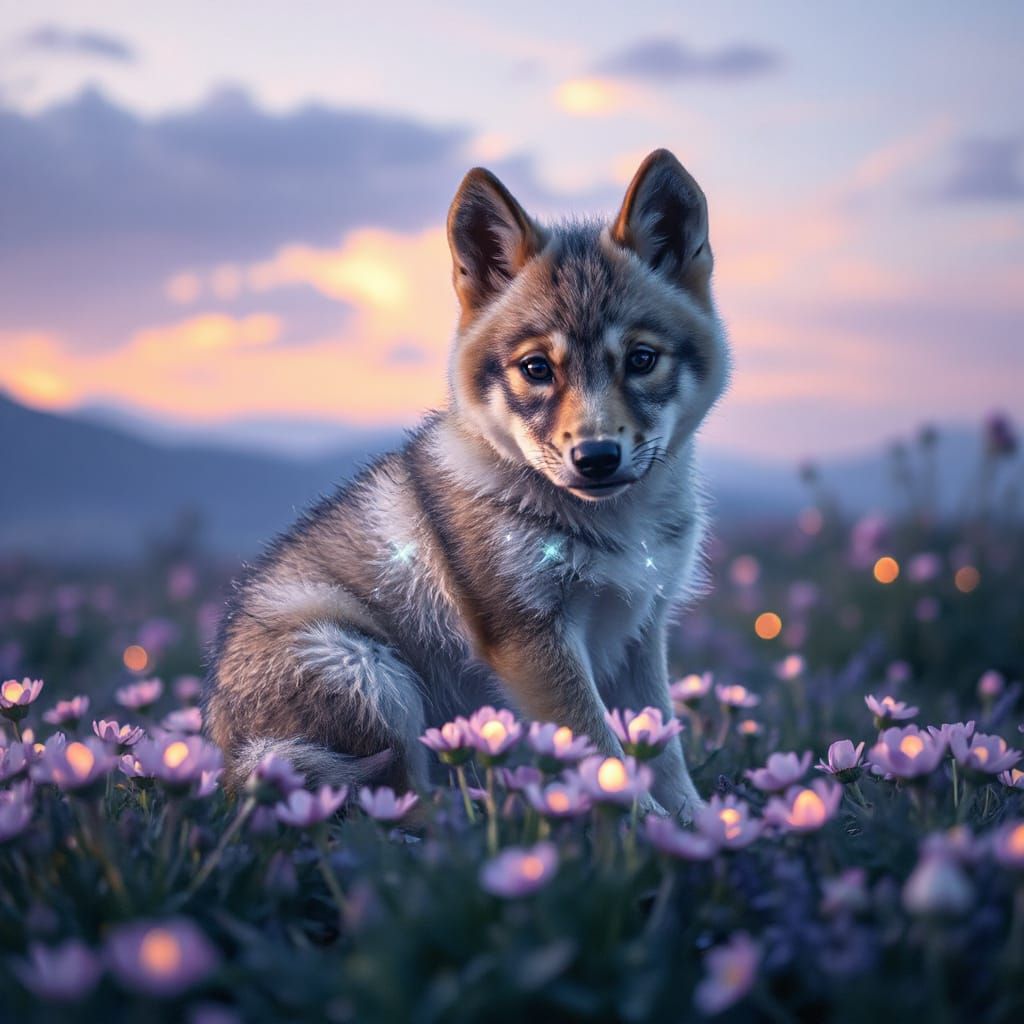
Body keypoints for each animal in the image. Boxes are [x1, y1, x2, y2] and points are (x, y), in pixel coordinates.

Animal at [204, 148, 730, 820]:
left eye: (641, 360)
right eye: (536, 368)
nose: (596, 457)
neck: (616, 530)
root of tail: (231, 764)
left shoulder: (641, 627)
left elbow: (662, 753)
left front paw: (700, 826)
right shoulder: (531, 637)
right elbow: (602, 751)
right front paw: (640, 822)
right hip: (367, 670)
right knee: (395, 800)